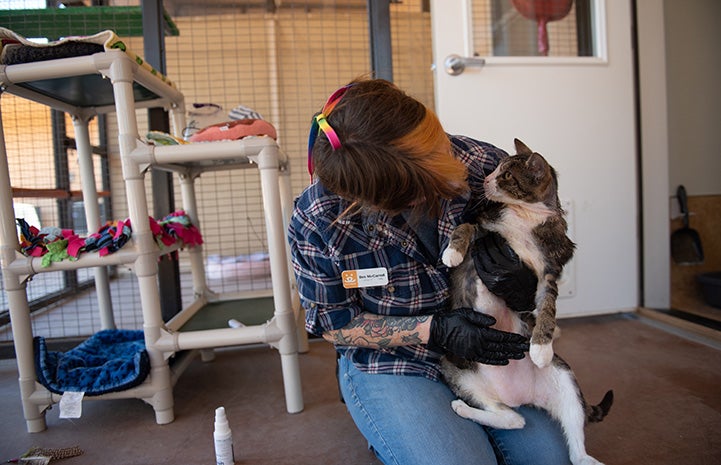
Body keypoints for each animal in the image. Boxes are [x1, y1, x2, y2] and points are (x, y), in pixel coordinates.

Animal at [442, 138, 612, 464]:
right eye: (495, 168)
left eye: (506, 175)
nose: (485, 179)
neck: (525, 214)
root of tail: (519, 396)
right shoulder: (486, 229)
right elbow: (465, 227)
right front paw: (452, 253)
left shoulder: (548, 271)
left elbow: (548, 307)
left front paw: (541, 347)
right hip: (458, 372)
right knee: (512, 419)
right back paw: (464, 409)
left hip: (565, 378)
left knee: (563, 441)